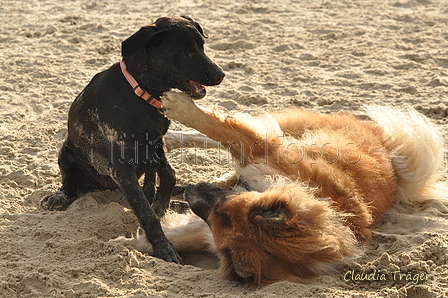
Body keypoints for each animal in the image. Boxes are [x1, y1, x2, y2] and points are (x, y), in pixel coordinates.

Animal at [39, 16, 224, 264]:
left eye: (202, 46)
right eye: (187, 52)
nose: (220, 74)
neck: (141, 95)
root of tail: (103, 189)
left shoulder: (155, 144)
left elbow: (168, 176)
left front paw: (162, 205)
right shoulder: (121, 167)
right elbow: (146, 211)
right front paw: (163, 247)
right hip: (66, 154)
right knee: (70, 186)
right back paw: (59, 197)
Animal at [114, 90, 444, 284]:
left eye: (222, 217)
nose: (193, 191)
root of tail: (389, 148)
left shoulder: (207, 226)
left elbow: (173, 237)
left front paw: (127, 244)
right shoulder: (263, 151)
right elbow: (220, 128)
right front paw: (181, 107)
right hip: (290, 128)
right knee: (226, 132)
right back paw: (171, 137)